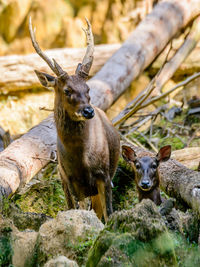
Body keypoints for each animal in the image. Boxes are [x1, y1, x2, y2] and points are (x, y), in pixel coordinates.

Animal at [28, 17, 119, 222]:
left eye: (88, 88)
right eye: (67, 90)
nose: (88, 111)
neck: (81, 159)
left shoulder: (103, 174)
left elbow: (109, 213)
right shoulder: (69, 179)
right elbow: (77, 211)